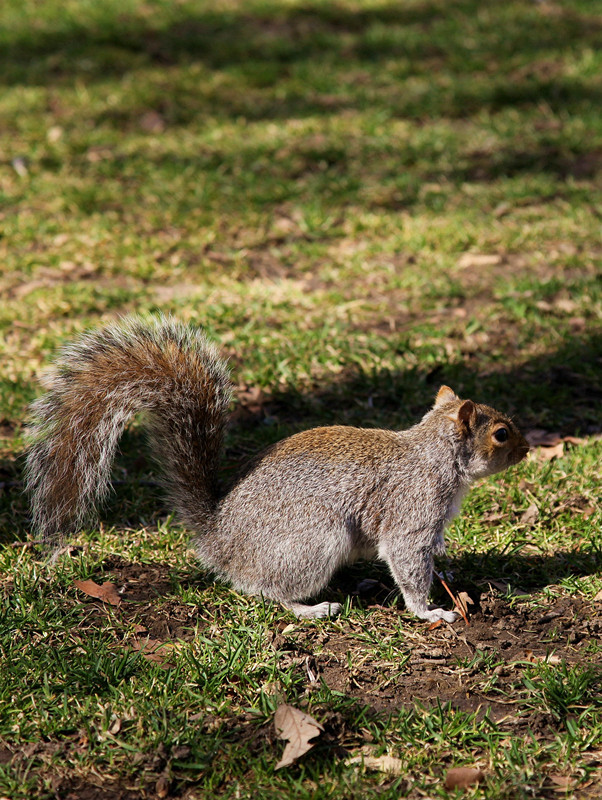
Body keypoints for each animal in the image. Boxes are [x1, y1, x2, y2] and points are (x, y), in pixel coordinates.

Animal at [25, 316, 528, 620]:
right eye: (502, 434)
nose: (526, 450)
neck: (435, 455)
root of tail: (218, 538)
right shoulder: (413, 510)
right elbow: (408, 561)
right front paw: (430, 612)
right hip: (313, 542)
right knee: (265, 590)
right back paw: (312, 608)